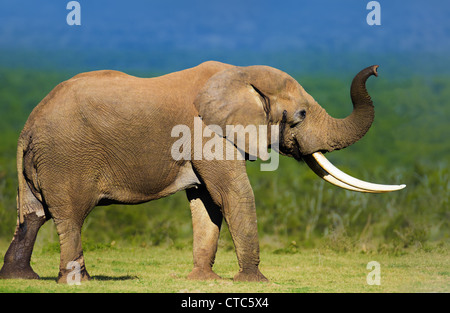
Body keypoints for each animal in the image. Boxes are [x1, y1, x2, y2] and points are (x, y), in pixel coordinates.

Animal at [0, 61, 404, 282]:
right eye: (301, 114)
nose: (377, 70)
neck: (239, 74)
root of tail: (27, 127)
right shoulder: (206, 131)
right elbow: (233, 194)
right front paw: (255, 282)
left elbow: (206, 201)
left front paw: (204, 280)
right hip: (66, 158)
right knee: (69, 215)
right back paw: (79, 281)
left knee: (33, 215)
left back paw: (22, 278)